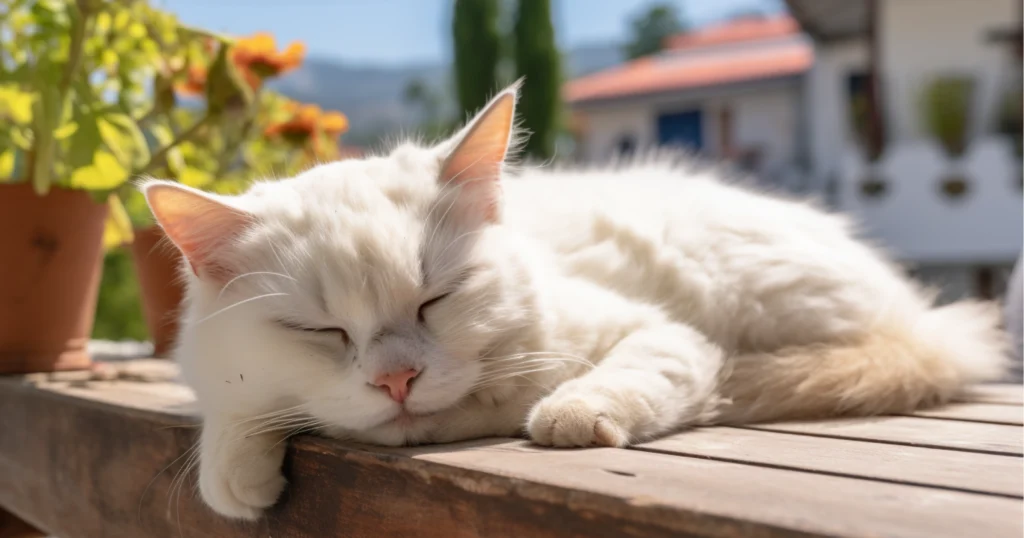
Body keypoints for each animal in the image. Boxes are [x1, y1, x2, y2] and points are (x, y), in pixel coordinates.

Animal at [140, 85, 1003, 520]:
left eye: (436, 301)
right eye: (319, 330)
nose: (396, 381)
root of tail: (925, 316)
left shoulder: (658, 332)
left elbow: (623, 376)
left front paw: (570, 412)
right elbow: (238, 406)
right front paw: (236, 469)